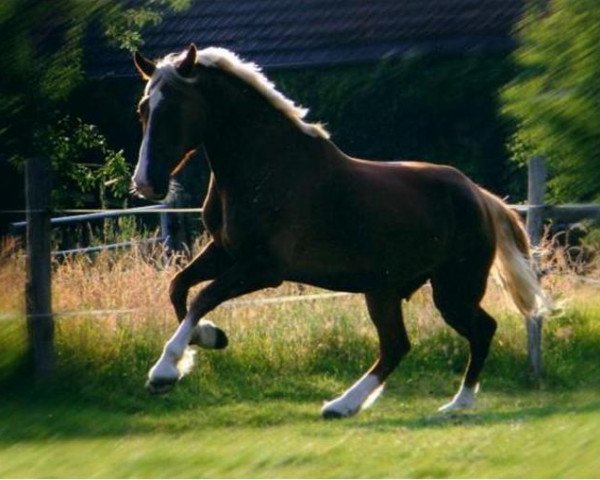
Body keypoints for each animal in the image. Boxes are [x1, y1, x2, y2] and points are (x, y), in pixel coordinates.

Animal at [131, 46, 548, 420]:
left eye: (173, 108)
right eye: (143, 109)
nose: (146, 183)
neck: (267, 168)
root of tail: (478, 194)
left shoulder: (263, 269)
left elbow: (202, 298)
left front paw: (163, 373)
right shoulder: (225, 252)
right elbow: (179, 288)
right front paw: (210, 338)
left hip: (453, 289)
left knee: (480, 329)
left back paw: (456, 404)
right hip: (384, 290)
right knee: (397, 345)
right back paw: (343, 405)